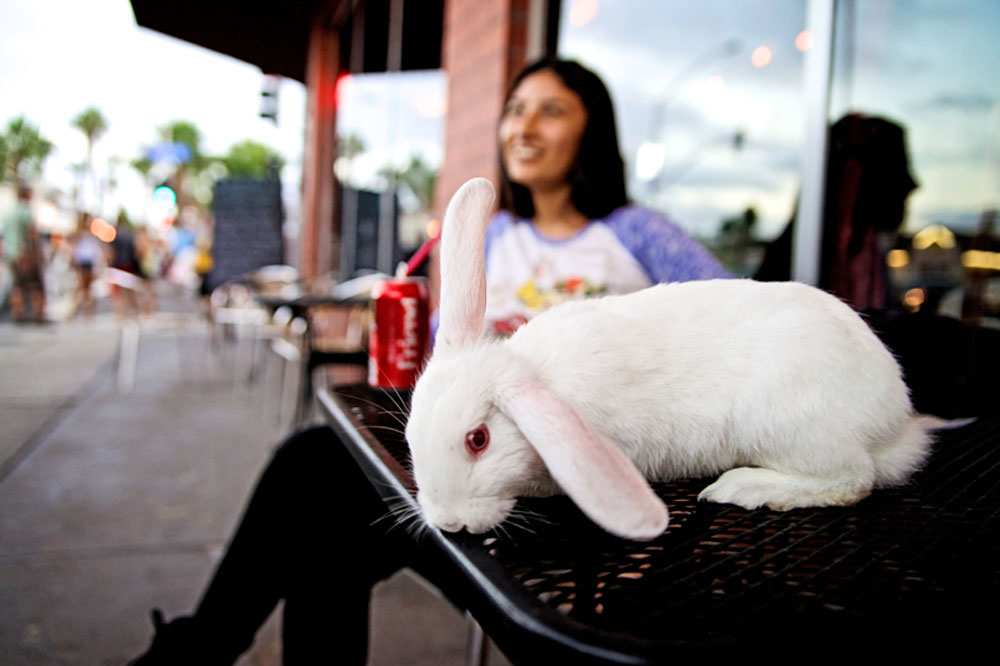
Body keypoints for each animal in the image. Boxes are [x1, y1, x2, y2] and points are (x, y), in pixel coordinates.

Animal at [402, 176, 932, 540]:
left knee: (853, 480)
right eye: (410, 432)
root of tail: (895, 419)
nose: (448, 522)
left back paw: (743, 488)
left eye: (478, 440)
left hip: (789, 425)